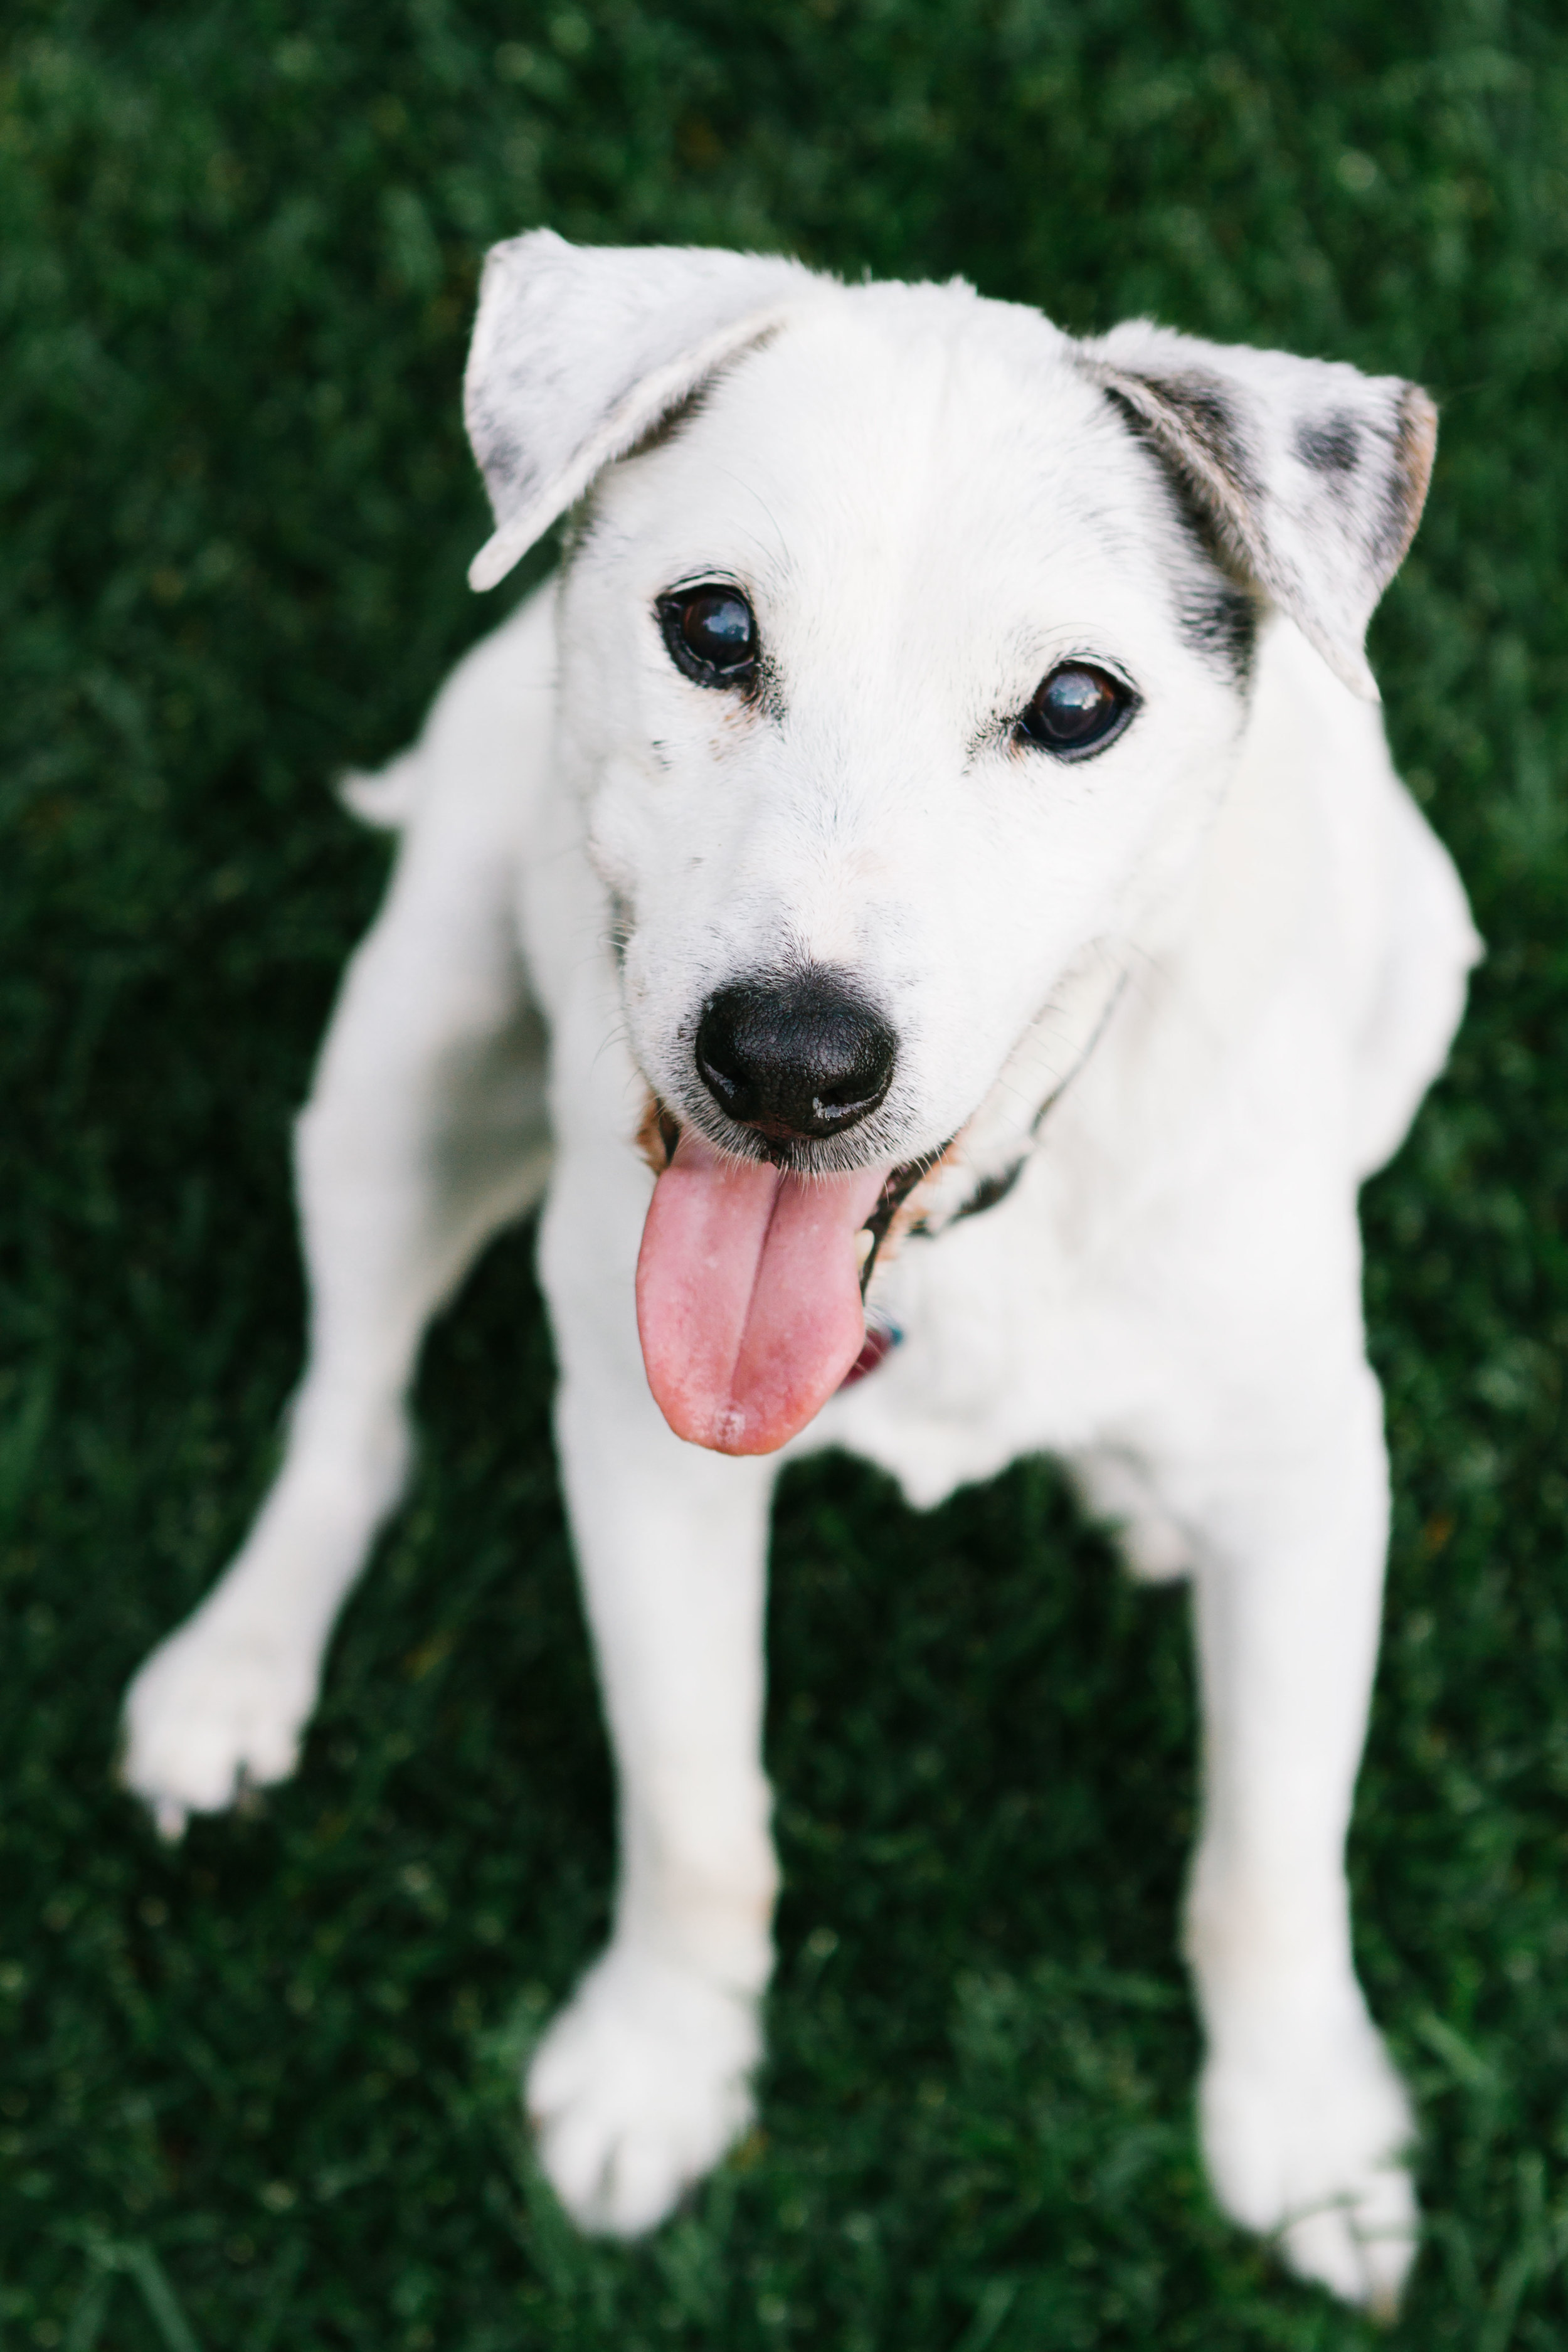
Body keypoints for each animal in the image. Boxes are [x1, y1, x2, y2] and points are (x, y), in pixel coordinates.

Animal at [120, 238, 1476, 2314]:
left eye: (1074, 701)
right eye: (709, 626)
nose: (787, 1059)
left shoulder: (1309, 1480)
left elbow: (1269, 1853)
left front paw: (1308, 2136)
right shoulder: (641, 1453)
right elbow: (695, 1807)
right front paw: (659, 2063)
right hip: (403, 1044)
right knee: (351, 1407)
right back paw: (237, 1664)